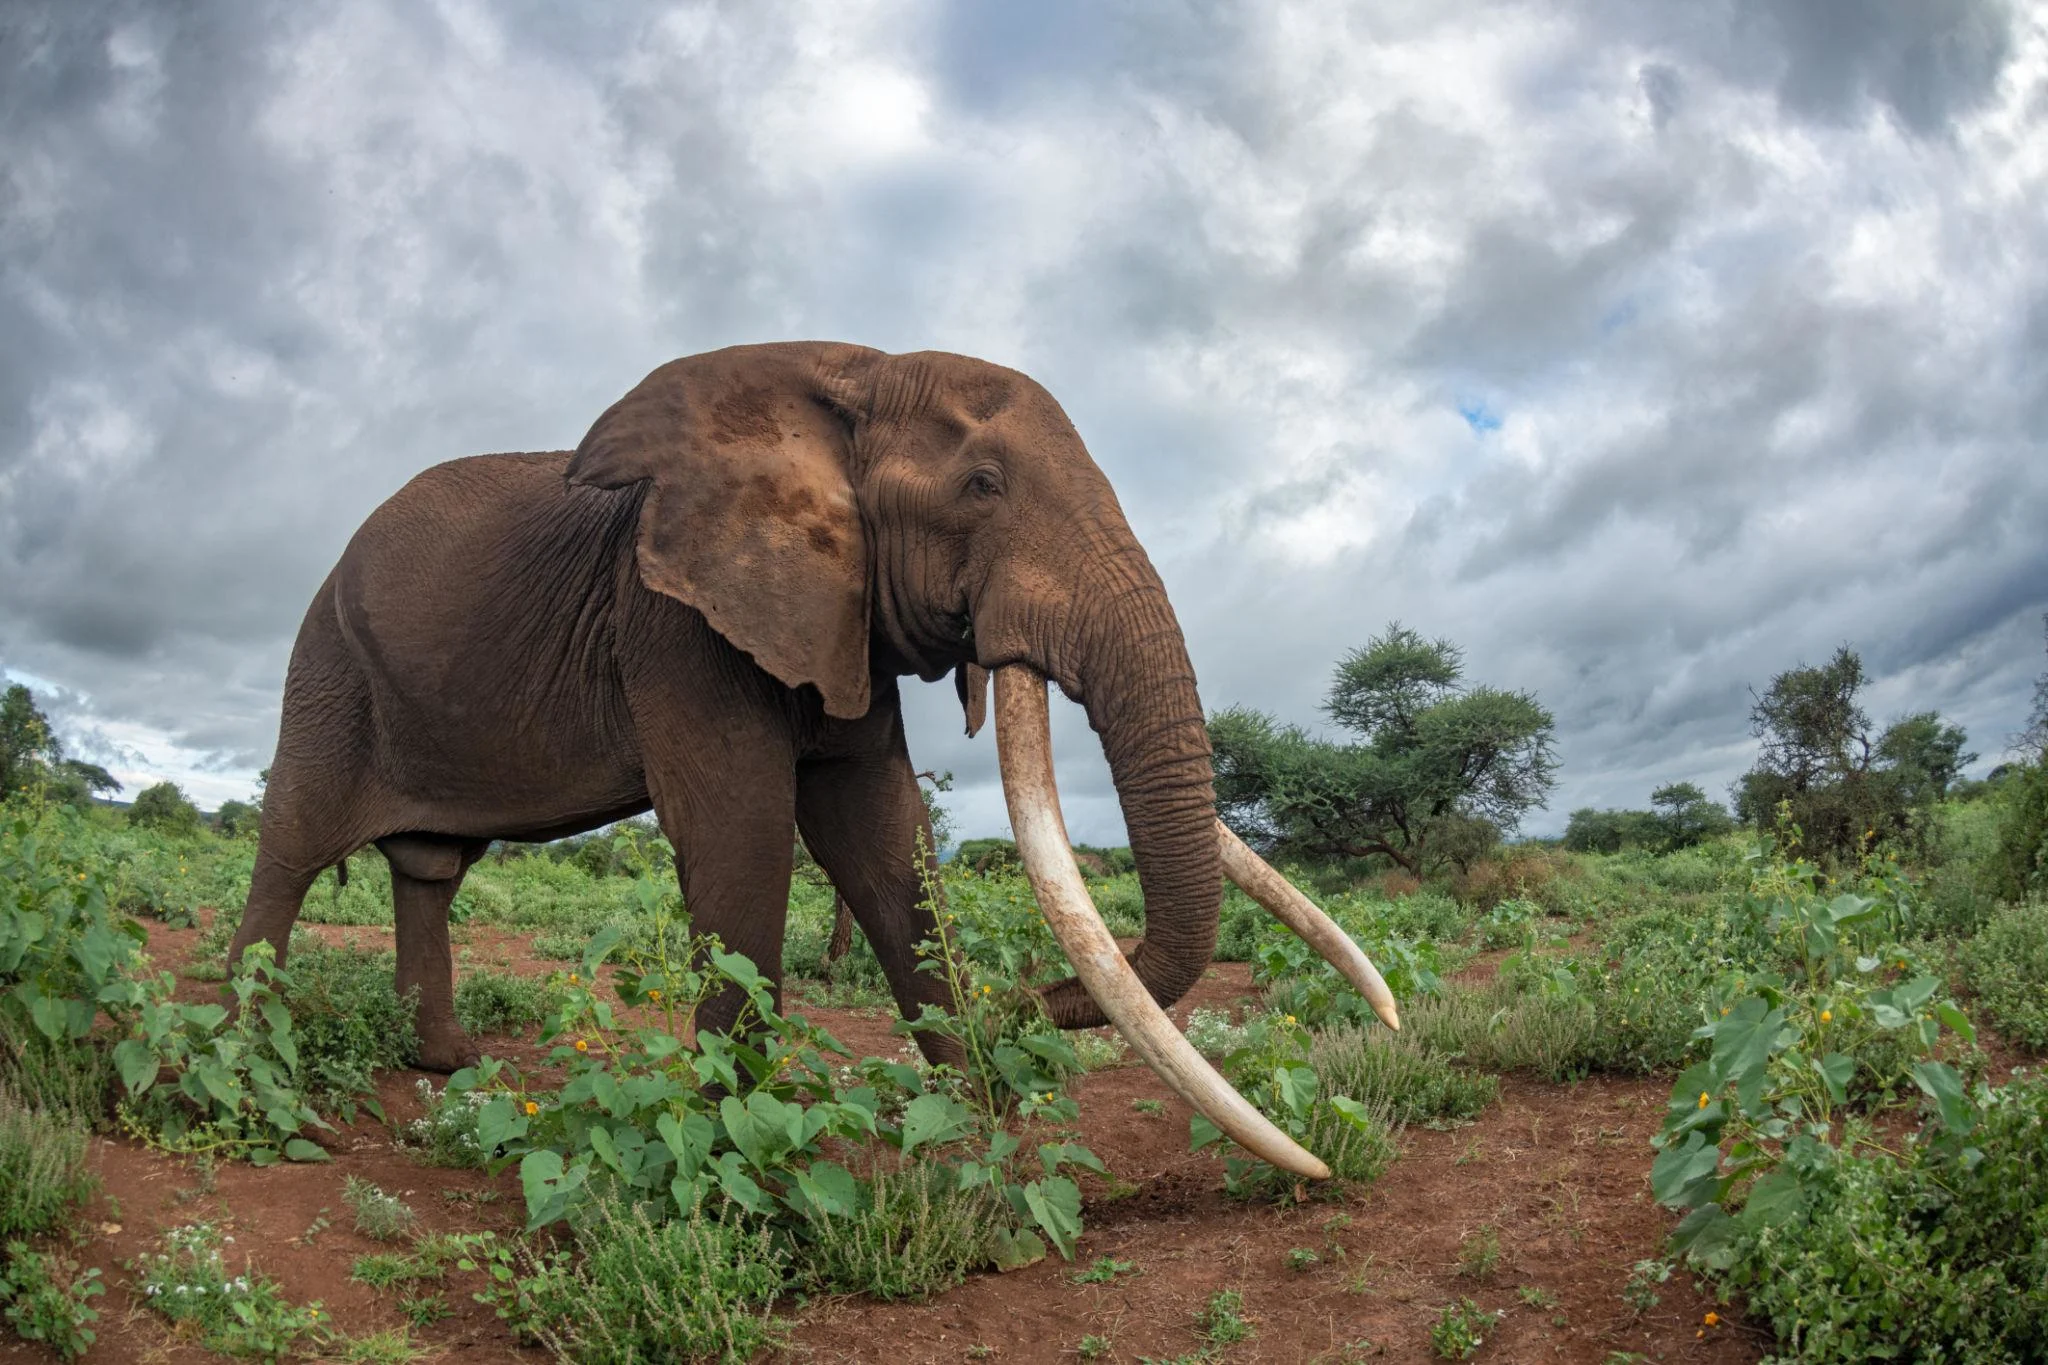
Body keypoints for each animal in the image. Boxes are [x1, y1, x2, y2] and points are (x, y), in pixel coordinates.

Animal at [230, 342, 1396, 1175]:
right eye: (981, 484)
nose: (1028, 1002)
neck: (852, 372)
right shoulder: (675, 619)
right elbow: (744, 832)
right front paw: (731, 1142)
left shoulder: (839, 616)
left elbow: (877, 833)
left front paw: (985, 1127)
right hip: (328, 659)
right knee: (293, 841)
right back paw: (249, 1071)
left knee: (429, 864)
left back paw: (446, 1063)